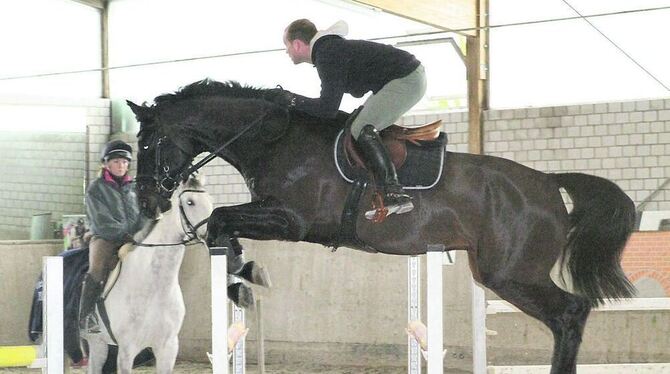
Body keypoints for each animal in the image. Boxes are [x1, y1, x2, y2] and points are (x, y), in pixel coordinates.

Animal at [83, 177, 213, 372]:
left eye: (210, 200)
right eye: (190, 202)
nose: (213, 235)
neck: (154, 287)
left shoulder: (168, 347)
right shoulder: (127, 350)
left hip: (100, 344)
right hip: (95, 342)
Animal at [129, 79, 636, 374]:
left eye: (150, 144)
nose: (147, 201)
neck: (274, 138)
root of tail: (549, 182)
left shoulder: (291, 220)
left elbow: (219, 219)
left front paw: (239, 272)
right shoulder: (274, 215)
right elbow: (224, 226)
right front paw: (240, 270)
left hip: (512, 275)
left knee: (570, 313)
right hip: (497, 273)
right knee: (569, 315)